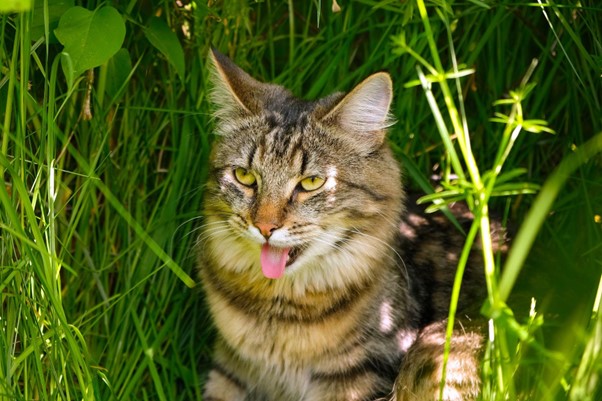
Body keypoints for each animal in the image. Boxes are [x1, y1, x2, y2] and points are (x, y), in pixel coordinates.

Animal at [197, 48, 502, 398]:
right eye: (244, 176)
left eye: (311, 182)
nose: (264, 227)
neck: (278, 311)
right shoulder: (231, 368)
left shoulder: (359, 374)